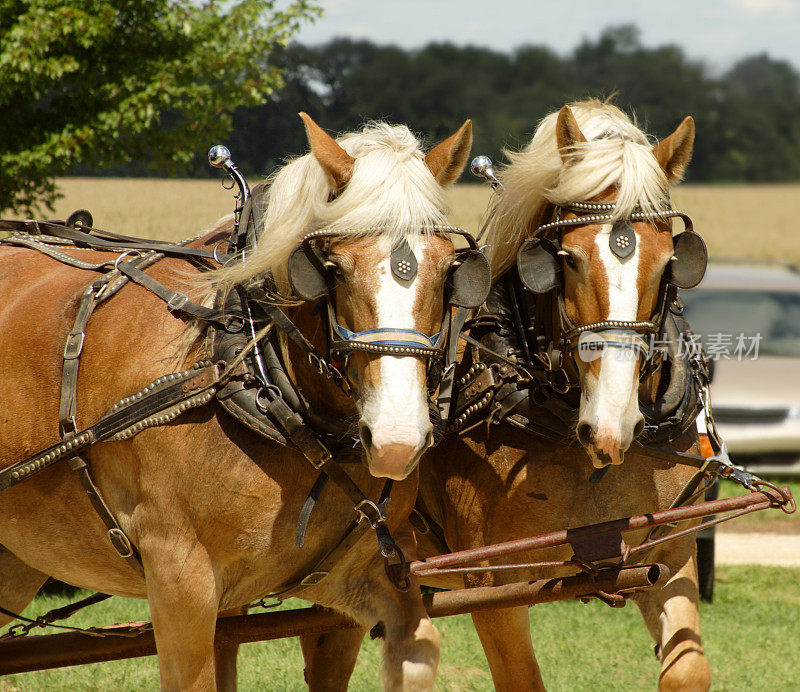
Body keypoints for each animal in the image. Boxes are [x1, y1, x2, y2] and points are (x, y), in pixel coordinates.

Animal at [0, 116, 476, 688]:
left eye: (450, 269)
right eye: (334, 267)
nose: (396, 440)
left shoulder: (351, 576)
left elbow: (419, 646)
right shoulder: (179, 579)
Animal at [302, 102, 712, 692]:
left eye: (666, 265)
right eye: (567, 259)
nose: (610, 425)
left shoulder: (670, 556)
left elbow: (688, 669)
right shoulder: (493, 587)